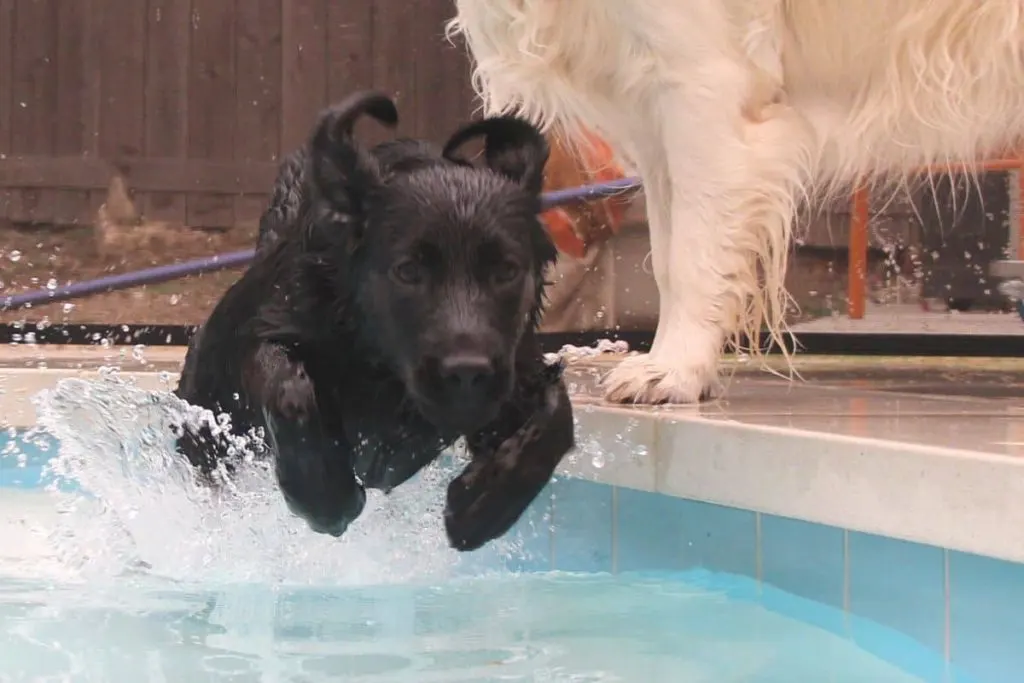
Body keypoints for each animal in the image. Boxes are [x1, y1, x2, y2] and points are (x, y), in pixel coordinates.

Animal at [176, 90, 577, 552]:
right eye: (408, 271)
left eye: (506, 271)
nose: (467, 374)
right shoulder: (276, 328)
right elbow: (288, 388)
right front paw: (326, 498)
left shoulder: (515, 365)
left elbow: (555, 417)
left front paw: (481, 508)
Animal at [452, 0, 1024, 403]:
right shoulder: (656, 115)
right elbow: (669, 258)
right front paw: (680, 363)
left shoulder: (700, 83)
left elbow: (692, 259)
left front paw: (675, 371)